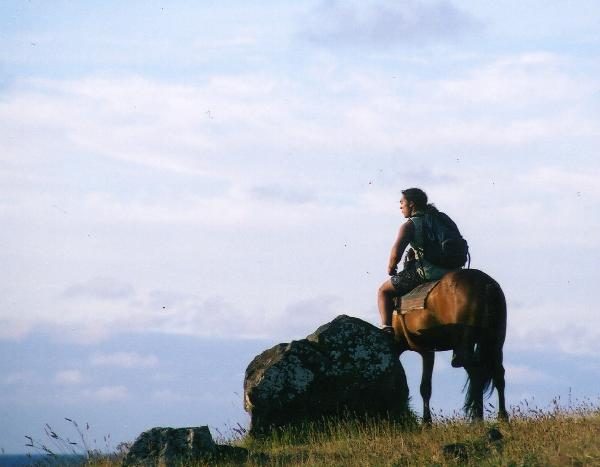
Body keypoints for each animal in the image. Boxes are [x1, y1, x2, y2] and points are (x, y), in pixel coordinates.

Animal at [390, 266, 506, 424]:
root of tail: (485, 284)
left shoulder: (424, 350)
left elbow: (424, 387)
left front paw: (426, 422)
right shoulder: (427, 351)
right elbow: (426, 387)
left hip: (465, 347)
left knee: (477, 374)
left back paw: (478, 418)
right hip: (494, 344)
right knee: (497, 374)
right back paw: (502, 417)